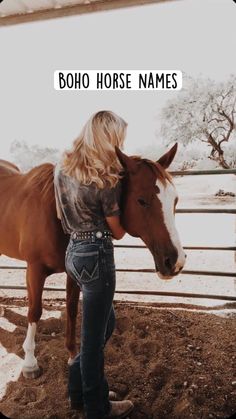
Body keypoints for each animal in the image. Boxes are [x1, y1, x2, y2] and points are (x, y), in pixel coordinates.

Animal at [0, 144, 184, 378]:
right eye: (142, 200)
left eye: (175, 200)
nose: (175, 261)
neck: (57, 209)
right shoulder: (34, 270)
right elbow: (35, 311)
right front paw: (30, 363)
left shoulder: (73, 273)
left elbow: (71, 309)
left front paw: (72, 357)